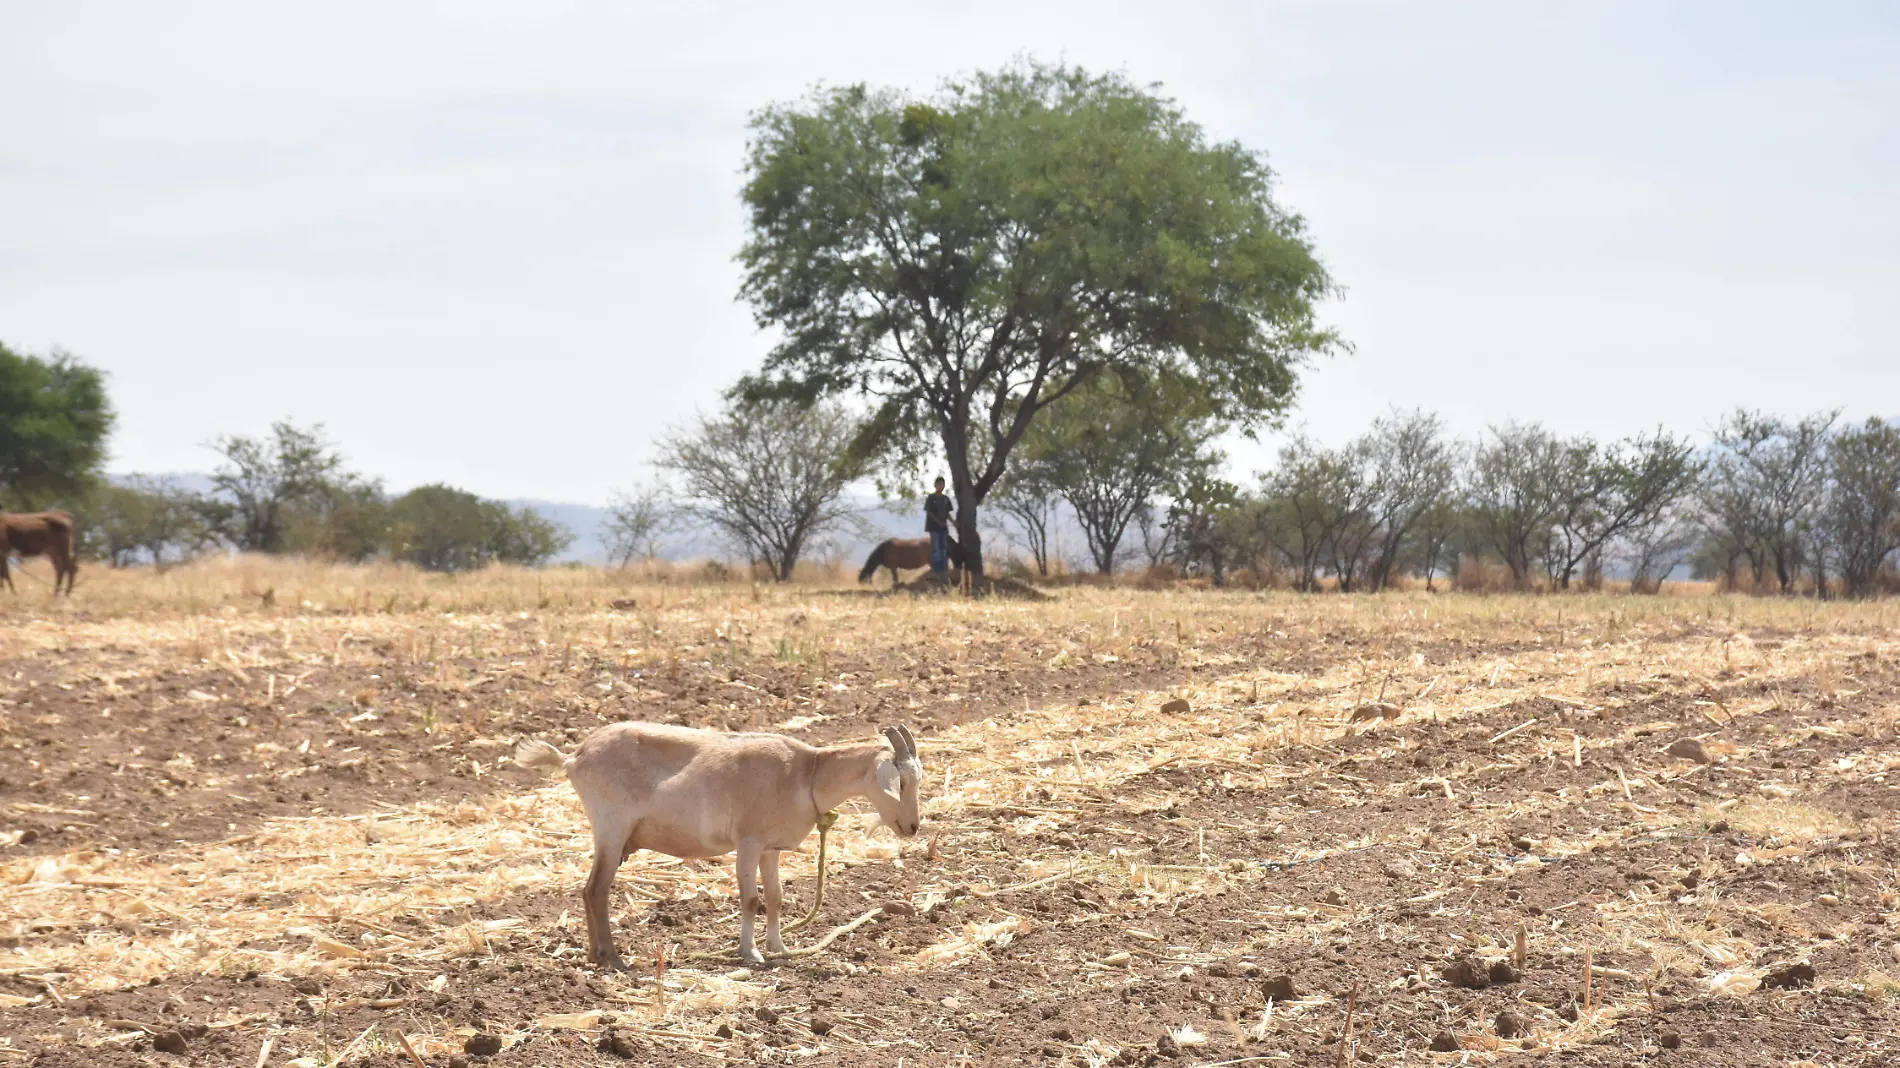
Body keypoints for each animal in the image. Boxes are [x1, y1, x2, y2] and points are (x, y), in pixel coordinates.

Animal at [509, 718, 915, 961]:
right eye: (901, 781)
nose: (913, 826)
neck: (806, 774)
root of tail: (573, 757)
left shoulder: (770, 849)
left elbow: (776, 898)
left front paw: (779, 947)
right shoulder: (748, 842)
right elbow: (751, 900)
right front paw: (751, 954)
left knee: (588, 890)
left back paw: (597, 954)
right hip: (612, 828)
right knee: (596, 889)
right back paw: (612, 956)